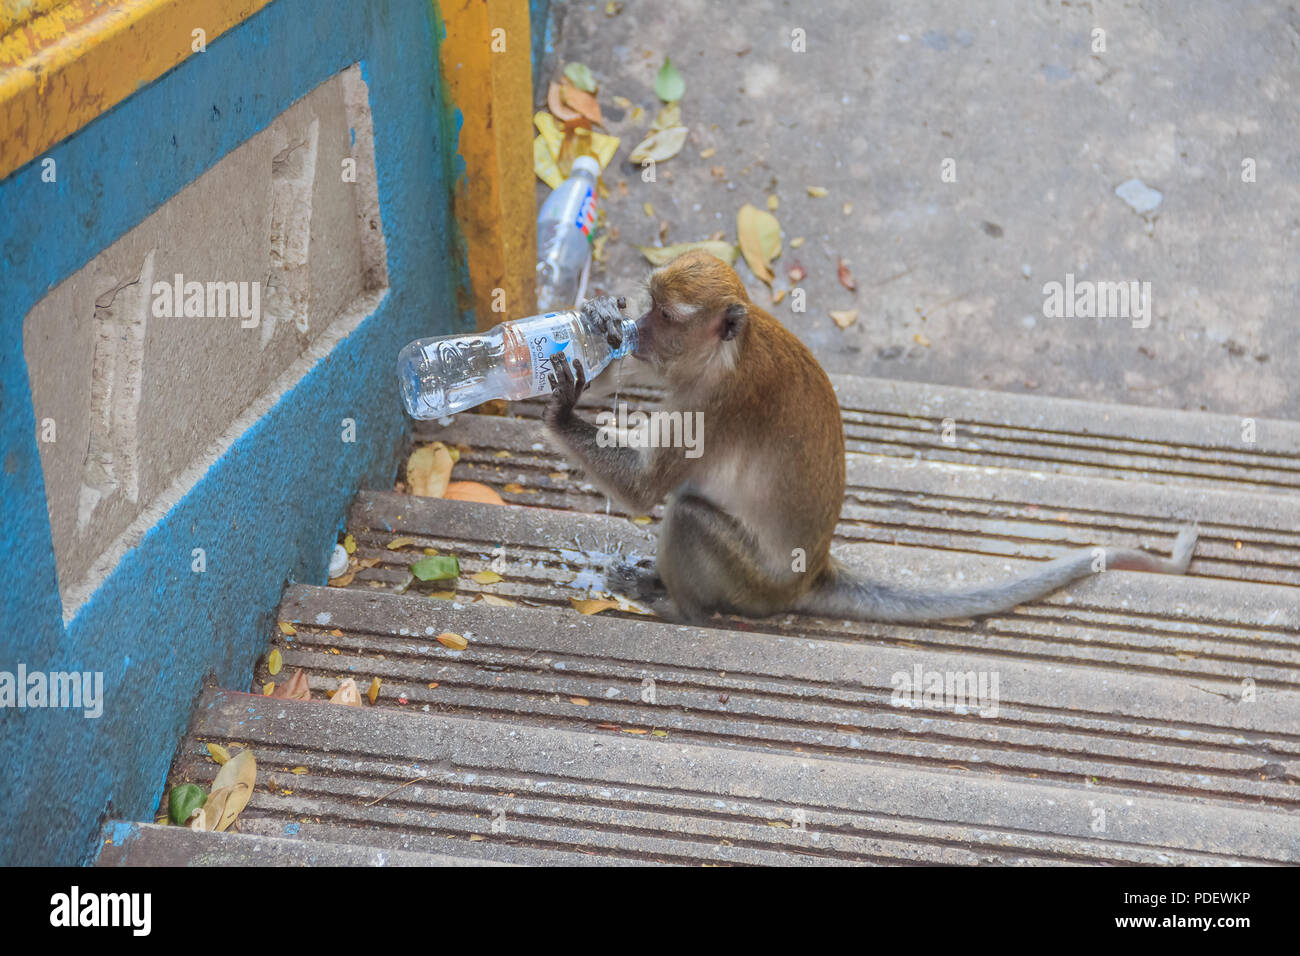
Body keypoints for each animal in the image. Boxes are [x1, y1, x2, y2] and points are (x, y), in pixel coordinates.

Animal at [540, 252, 1196, 629]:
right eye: (649, 303)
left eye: (667, 317)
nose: (634, 327)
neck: (725, 352)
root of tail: (813, 573)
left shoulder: (713, 405)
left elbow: (645, 489)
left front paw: (560, 403)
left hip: (752, 583)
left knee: (688, 516)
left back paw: (684, 608)